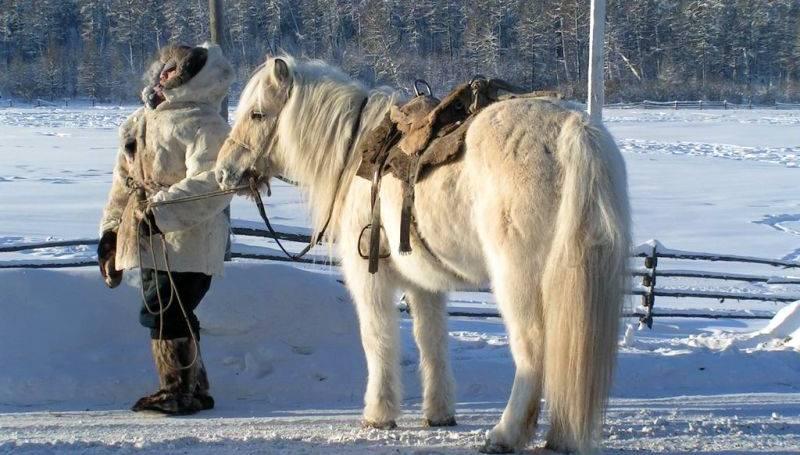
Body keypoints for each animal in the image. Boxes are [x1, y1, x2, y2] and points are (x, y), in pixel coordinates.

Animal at [214, 55, 632, 454]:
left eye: (257, 114)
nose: (223, 171)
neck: (354, 155)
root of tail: (574, 131)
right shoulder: (425, 284)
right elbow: (431, 342)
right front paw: (439, 413)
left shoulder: (371, 279)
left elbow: (378, 340)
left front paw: (378, 414)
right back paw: (562, 435)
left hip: (518, 280)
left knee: (533, 350)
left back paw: (505, 434)